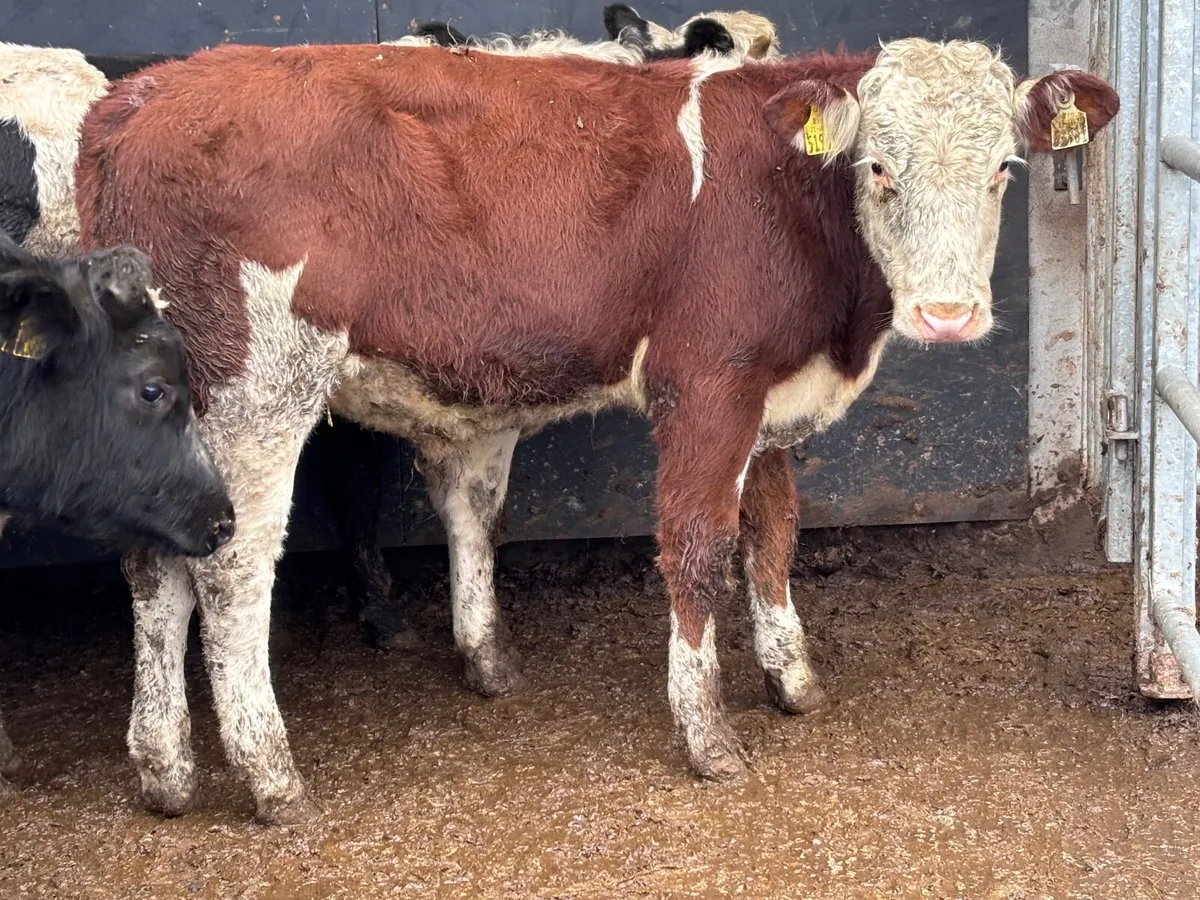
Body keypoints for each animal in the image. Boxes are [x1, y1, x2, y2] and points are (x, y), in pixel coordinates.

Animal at [76, 37, 1118, 823]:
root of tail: (144, 94)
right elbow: (697, 548)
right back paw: (270, 774)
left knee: (154, 567)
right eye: (878, 168)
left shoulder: (774, 396)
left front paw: (792, 679)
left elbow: (773, 537)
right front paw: (707, 735)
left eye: (1003, 170)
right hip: (260, 387)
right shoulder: (706, 382)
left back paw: (164, 770)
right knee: (231, 569)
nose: (948, 316)